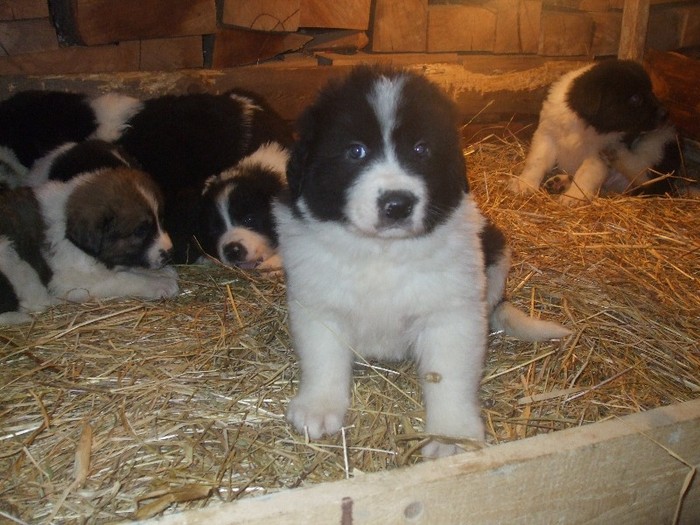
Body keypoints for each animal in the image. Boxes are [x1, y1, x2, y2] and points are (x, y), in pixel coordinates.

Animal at [508, 58, 680, 203]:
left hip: (659, 140)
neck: (583, 124)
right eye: (635, 98)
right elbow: (536, 162)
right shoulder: (547, 135)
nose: (665, 113)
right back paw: (560, 182)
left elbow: (585, 174)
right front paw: (524, 184)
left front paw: (573, 197)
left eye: (651, 91)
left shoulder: (596, 155)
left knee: (646, 175)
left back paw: (616, 153)